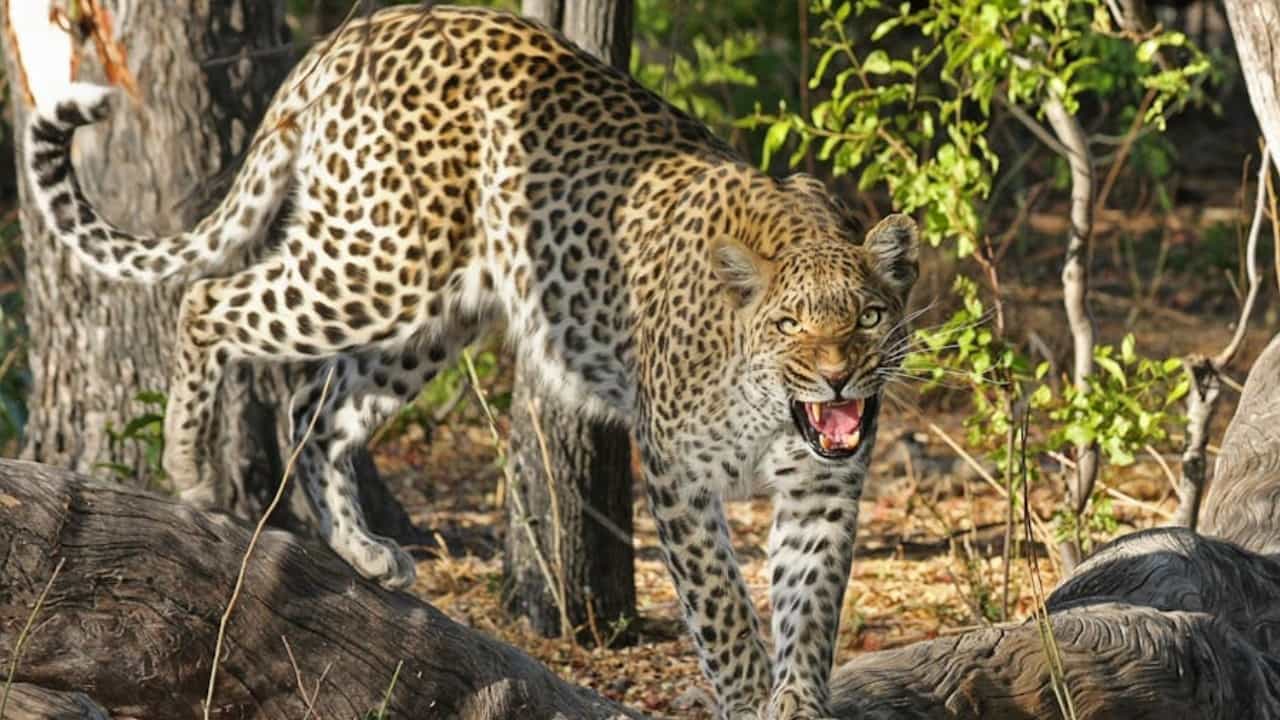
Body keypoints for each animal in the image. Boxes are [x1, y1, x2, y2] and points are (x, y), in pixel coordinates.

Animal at [23, 5, 919, 718]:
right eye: (790, 324)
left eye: (870, 317)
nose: (837, 377)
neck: (774, 410)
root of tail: (351, 35)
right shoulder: (677, 476)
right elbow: (726, 613)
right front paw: (747, 696)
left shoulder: (824, 494)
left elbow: (811, 611)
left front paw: (798, 701)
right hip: (376, 265)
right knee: (208, 301)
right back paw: (192, 469)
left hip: (431, 317)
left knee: (314, 408)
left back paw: (363, 552)